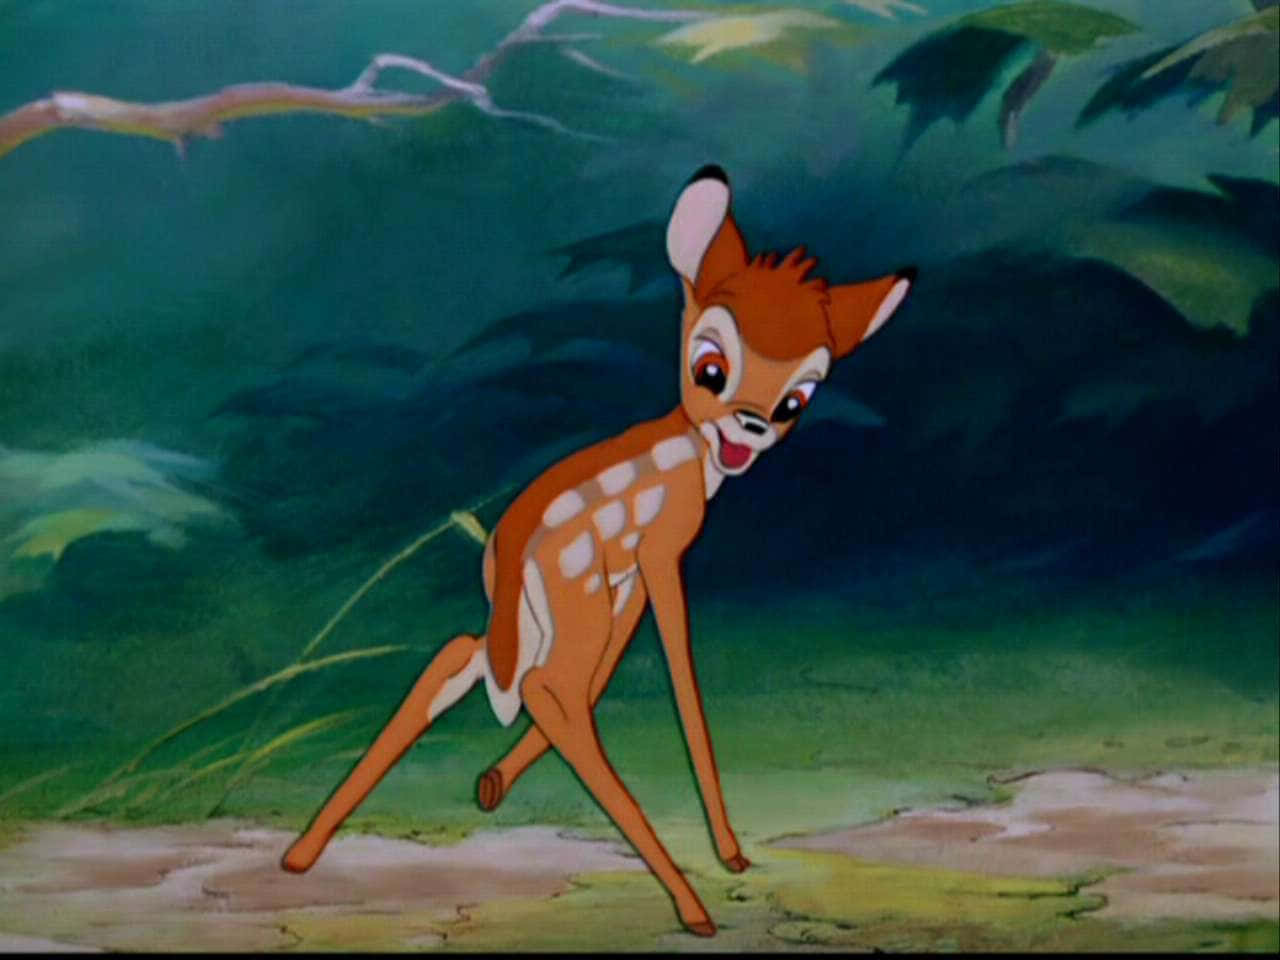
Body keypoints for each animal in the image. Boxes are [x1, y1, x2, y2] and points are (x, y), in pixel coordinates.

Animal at [282, 165, 915, 937]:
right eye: (710, 368)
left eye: (798, 400)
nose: (752, 425)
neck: (693, 456)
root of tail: (510, 548)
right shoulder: (664, 551)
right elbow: (678, 678)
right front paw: (731, 853)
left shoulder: (630, 575)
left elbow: (610, 669)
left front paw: (492, 781)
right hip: (571, 597)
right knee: (545, 689)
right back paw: (693, 908)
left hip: (532, 616)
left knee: (466, 657)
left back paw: (300, 855)